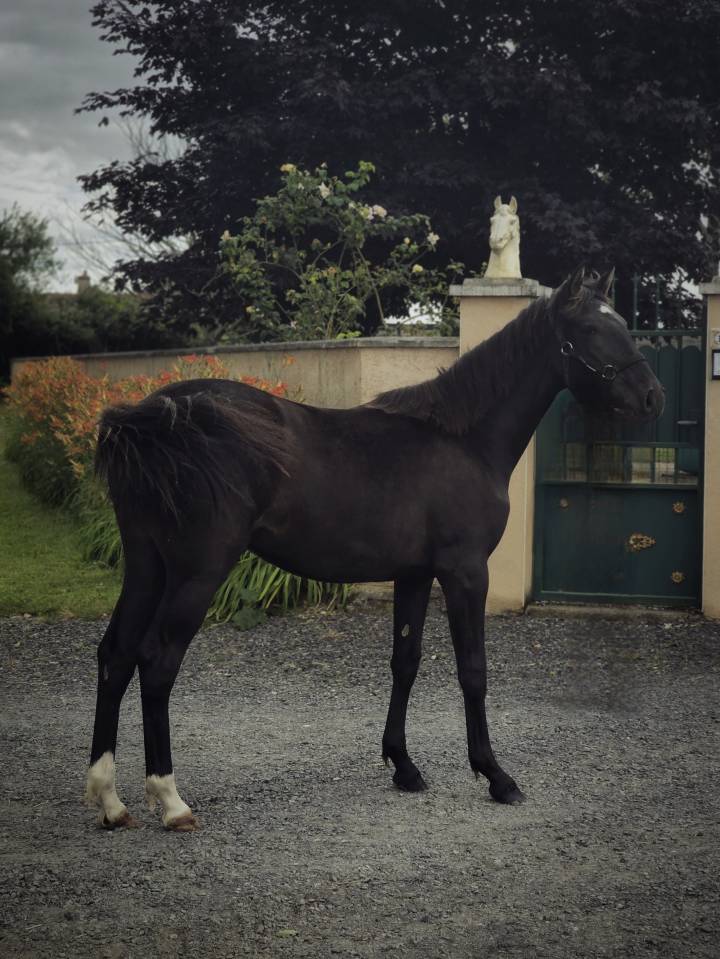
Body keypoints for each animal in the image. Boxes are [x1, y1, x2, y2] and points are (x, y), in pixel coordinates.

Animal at [85, 266, 663, 831]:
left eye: (620, 322)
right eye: (590, 329)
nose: (653, 397)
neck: (464, 441)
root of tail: (153, 415)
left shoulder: (414, 573)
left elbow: (404, 661)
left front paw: (404, 766)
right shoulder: (465, 571)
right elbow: (472, 670)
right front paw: (496, 775)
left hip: (147, 565)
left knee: (116, 654)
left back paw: (111, 801)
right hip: (198, 572)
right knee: (157, 662)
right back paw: (171, 800)